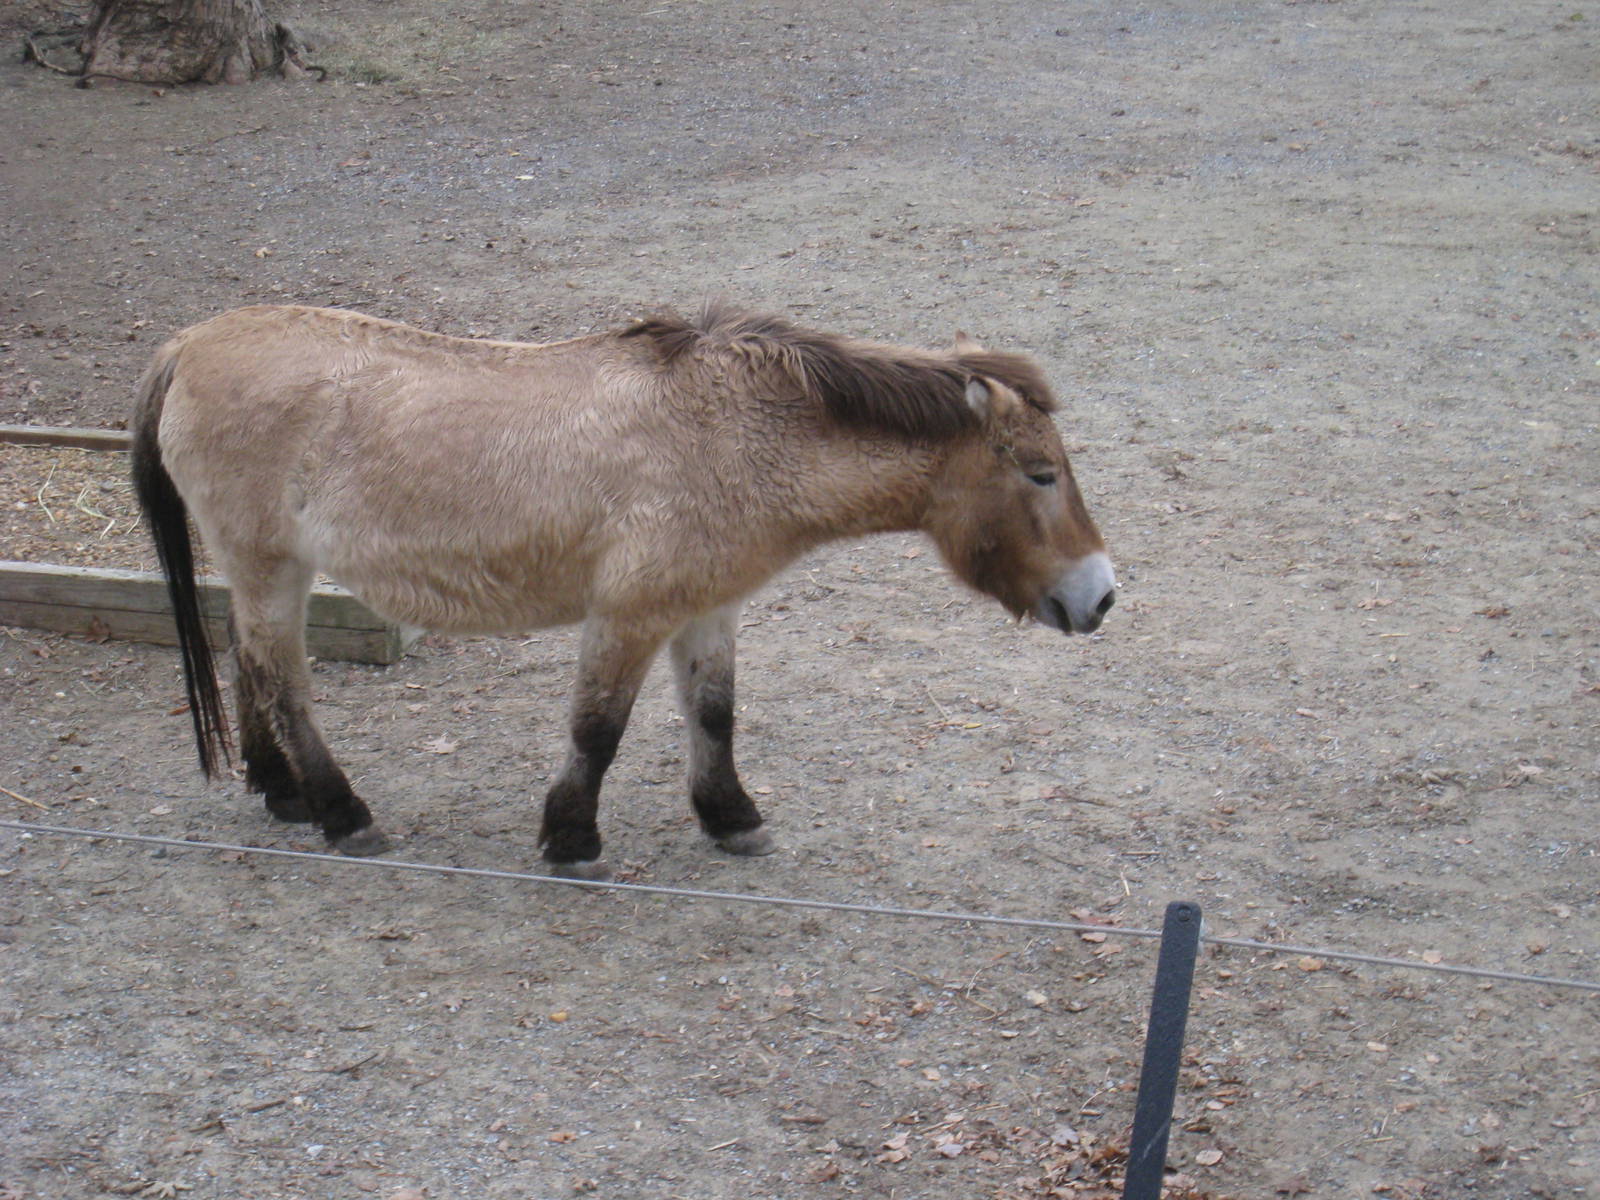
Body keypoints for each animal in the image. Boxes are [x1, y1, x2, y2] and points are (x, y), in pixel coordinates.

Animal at [131, 302, 1116, 879]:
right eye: (1039, 474)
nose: (1101, 597)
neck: (734, 434)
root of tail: (191, 342)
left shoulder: (708, 609)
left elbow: (715, 717)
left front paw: (732, 818)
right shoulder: (630, 615)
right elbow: (597, 731)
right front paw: (572, 839)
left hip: (264, 567)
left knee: (249, 664)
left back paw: (282, 792)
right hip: (268, 564)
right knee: (282, 681)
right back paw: (341, 812)